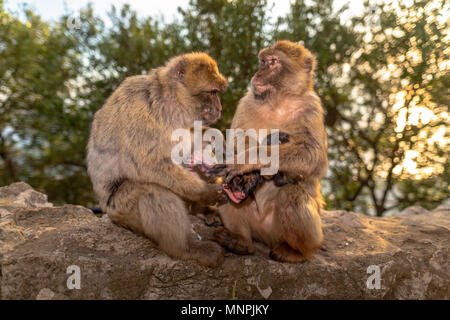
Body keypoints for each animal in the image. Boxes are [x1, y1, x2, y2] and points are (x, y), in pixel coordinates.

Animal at [87, 52, 229, 268]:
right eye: (212, 92)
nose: (219, 108)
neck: (168, 102)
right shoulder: (138, 108)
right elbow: (146, 164)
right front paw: (205, 191)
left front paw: (215, 140)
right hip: (121, 210)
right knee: (152, 189)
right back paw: (186, 248)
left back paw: (201, 209)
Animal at [214, 41, 326, 262]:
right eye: (263, 61)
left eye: (273, 62)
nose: (259, 72)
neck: (279, 102)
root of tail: (263, 236)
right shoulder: (247, 101)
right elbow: (232, 146)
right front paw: (248, 177)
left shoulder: (312, 108)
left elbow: (313, 156)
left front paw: (249, 161)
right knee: (223, 188)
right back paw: (239, 241)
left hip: (283, 231)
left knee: (293, 194)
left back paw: (298, 252)